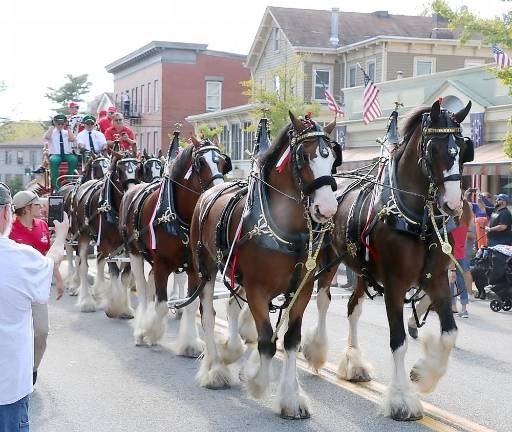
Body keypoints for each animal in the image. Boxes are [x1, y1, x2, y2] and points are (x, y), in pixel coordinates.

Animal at [71, 153, 141, 314]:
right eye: (119, 171)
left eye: (138, 169)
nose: (132, 195)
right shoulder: (107, 244)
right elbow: (114, 272)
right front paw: (114, 306)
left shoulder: (129, 245)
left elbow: (125, 275)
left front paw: (125, 308)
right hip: (83, 235)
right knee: (83, 265)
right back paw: (87, 301)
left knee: (99, 262)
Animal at [119, 134, 231, 348]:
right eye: (200, 163)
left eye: (222, 162)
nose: (219, 194)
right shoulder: (162, 262)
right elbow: (161, 305)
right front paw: (150, 332)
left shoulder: (195, 267)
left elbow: (191, 304)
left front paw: (190, 343)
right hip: (135, 253)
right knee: (143, 289)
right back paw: (140, 328)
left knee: (150, 283)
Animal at [187, 112, 340, 418]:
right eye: (303, 157)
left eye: (332, 157)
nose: (328, 209)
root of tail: (210, 191)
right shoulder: (258, 290)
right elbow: (267, 339)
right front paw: (258, 383)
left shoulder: (301, 290)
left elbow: (291, 339)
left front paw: (291, 398)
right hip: (206, 269)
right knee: (208, 314)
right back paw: (215, 370)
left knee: (232, 307)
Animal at [302, 99, 474, 420]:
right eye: (434, 149)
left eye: (463, 147)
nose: (454, 204)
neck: (417, 219)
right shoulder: (395, 283)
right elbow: (398, 342)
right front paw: (401, 399)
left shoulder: (436, 281)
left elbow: (450, 334)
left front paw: (423, 374)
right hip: (327, 260)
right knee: (321, 300)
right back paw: (313, 351)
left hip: (360, 269)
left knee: (352, 307)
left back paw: (354, 363)